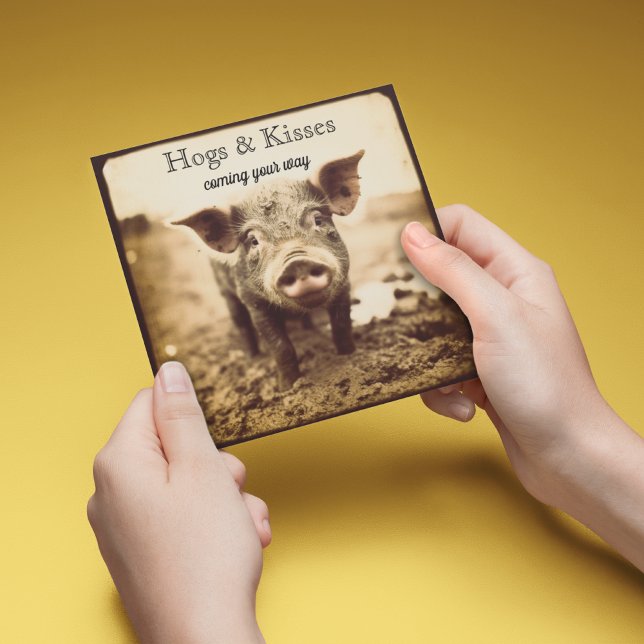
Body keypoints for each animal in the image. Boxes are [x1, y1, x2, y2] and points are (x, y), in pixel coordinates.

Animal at [172, 150, 365, 390]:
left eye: (318, 220)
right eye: (253, 241)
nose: (297, 262)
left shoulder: (343, 283)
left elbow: (341, 326)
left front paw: (350, 358)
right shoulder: (253, 301)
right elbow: (280, 346)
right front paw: (288, 388)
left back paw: (310, 331)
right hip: (226, 293)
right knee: (242, 325)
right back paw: (253, 357)